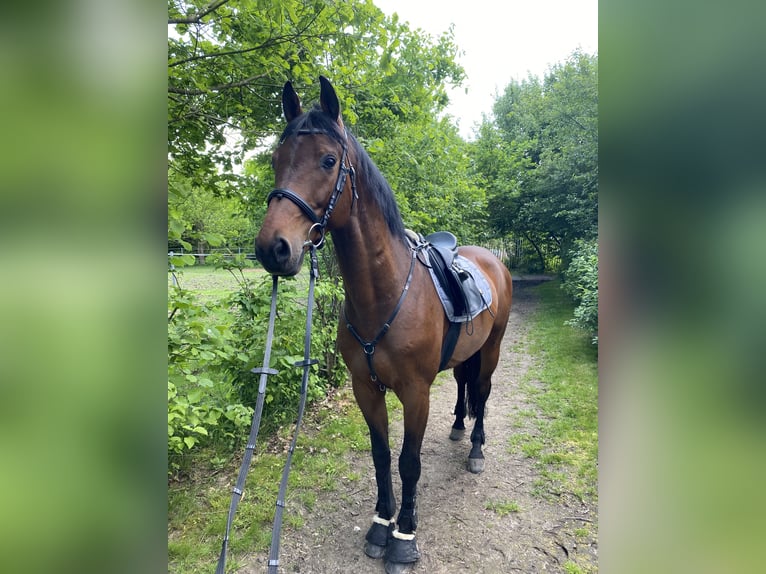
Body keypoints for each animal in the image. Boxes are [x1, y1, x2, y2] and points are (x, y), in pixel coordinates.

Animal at [255, 77, 512, 574]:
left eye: (328, 160)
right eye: (277, 159)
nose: (272, 248)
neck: (386, 294)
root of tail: (492, 260)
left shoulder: (415, 392)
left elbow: (409, 462)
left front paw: (405, 538)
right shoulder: (366, 389)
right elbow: (381, 455)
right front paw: (379, 526)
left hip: (490, 352)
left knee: (483, 392)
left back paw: (475, 448)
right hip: (463, 356)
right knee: (463, 387)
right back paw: (457, 427)